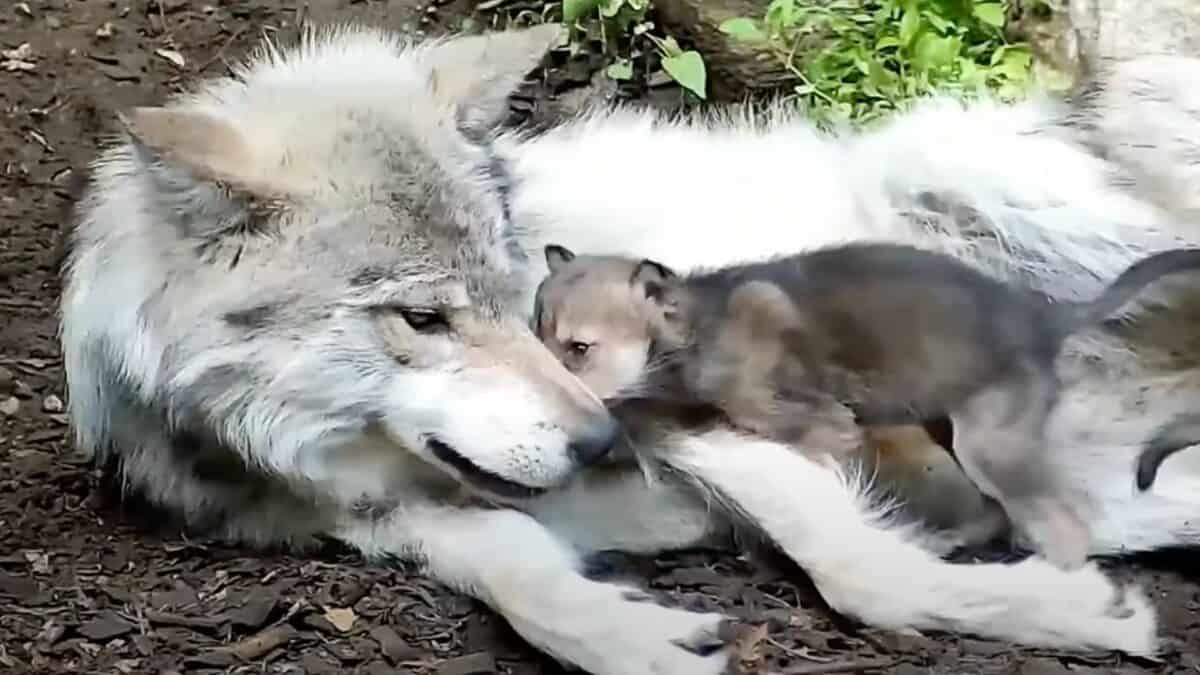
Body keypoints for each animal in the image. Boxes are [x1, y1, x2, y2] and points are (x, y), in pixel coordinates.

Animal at [537, 241, 1200, 566]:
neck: (697, 327)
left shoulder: (824, 427)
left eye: (579, 349)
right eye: (535, 331)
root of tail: (1043, 316)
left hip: (989, 444)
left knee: (1065, 528)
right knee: (999, 515)